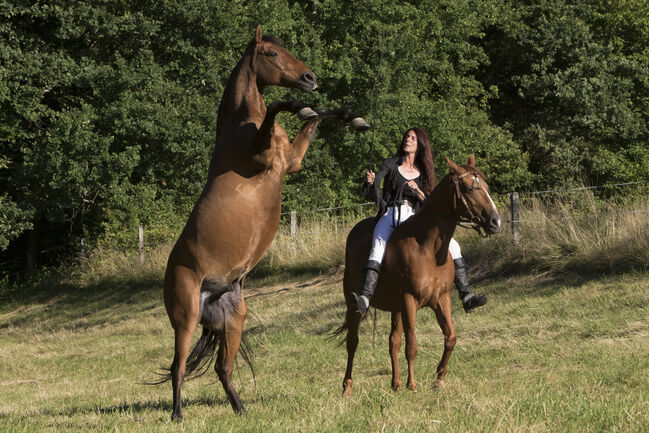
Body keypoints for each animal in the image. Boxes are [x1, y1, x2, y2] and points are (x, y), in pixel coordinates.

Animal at [156, 25, 369, 420]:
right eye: (271, 53)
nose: (309, 78)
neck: (239, 125)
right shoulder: (262, 157)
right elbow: (279, 108)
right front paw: (299, 104)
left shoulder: (291, 160)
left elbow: (317, 117)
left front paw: (353, 117)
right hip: (185, 316)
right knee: (178, 366)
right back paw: (177, 415)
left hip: (233, 319)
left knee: (223, 368)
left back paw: (241, 410)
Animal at [338, 155, 501, 396]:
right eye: (469, 188)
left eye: (487, 187)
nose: (495, 222)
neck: (428, 248)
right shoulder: (409, 301)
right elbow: (412, 345)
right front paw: (412, 385)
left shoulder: (441, 299)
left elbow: (450, 338)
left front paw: (439, 380)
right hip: (355, 305)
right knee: (353, 341)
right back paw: (347, 387)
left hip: (395, 308)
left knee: (393, 341)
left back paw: (395, 383)